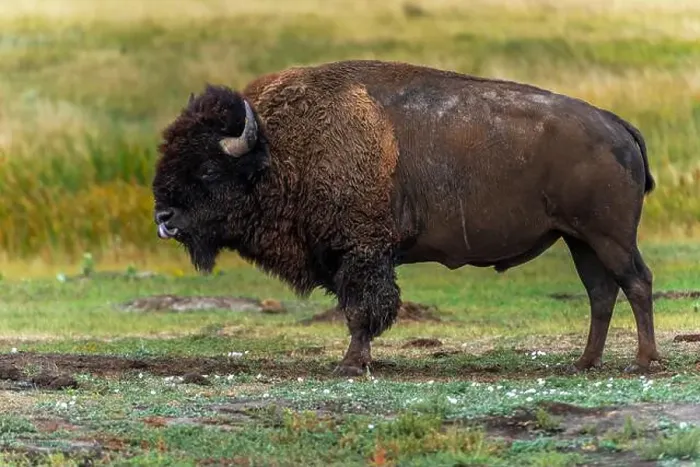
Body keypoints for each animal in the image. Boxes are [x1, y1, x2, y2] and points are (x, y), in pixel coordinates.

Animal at [152, 59, 659, 376]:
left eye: (208, 169)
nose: (163, 216)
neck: (277, 151)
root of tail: (616, 124)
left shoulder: (362, 252)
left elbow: (363, 309)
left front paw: (350, 364)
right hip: (579, 240)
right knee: (601, 293)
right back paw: (584, 363)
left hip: (608, 237)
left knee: (636, 282)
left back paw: (643, 361)